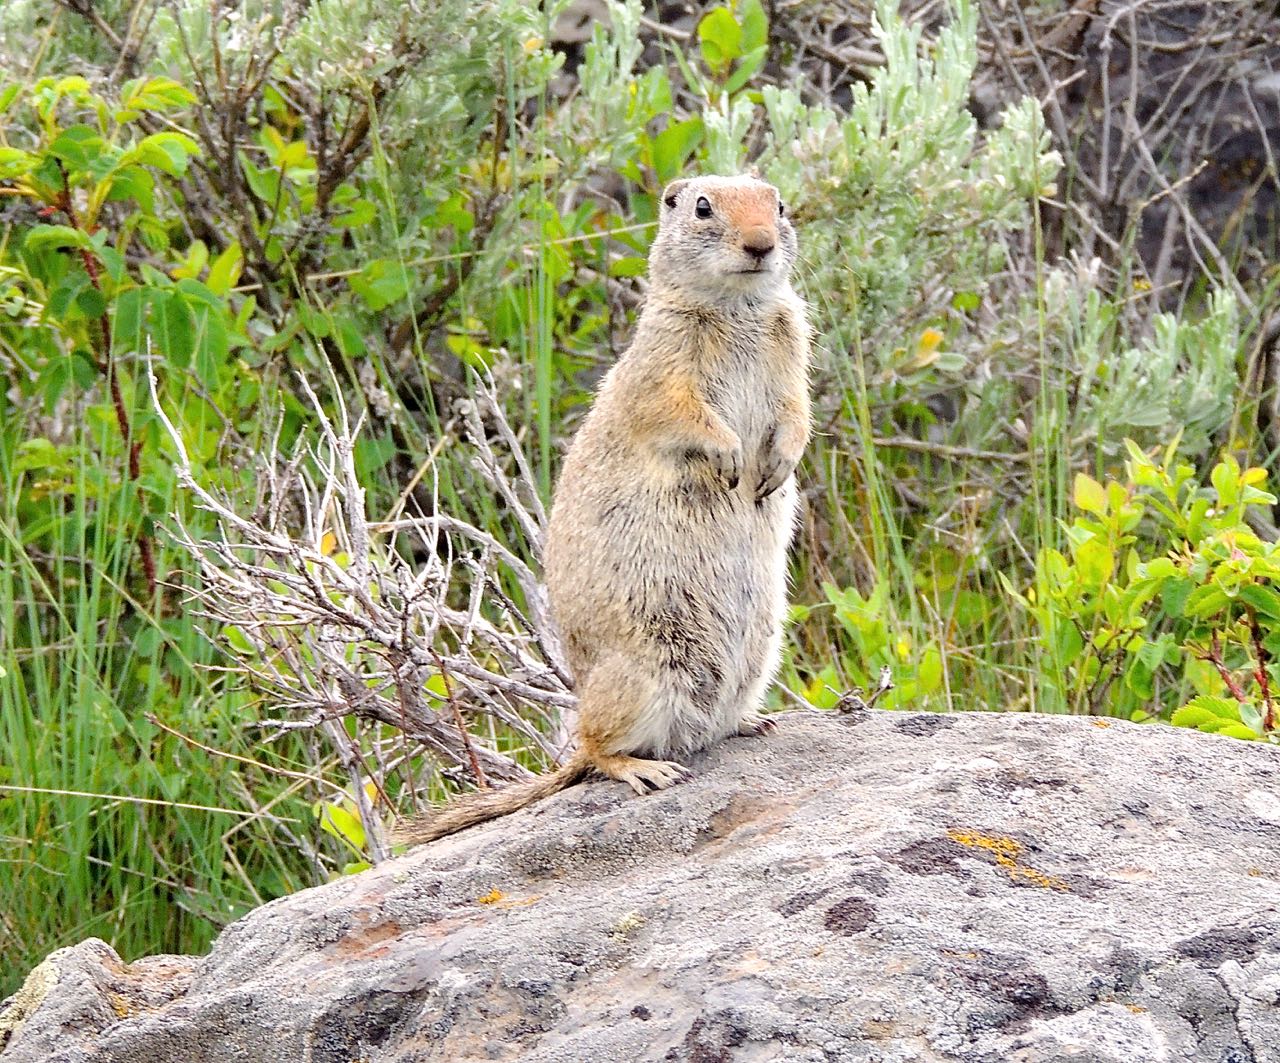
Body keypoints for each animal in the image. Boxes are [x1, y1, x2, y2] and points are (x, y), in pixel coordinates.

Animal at [401, 176, 808, 850]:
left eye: (779, 205)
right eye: (701, 207)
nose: (760, 244)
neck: (737, 306)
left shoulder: (794, 350)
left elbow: (798, 414)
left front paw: (775, 468)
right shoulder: (662, 369)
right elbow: (679, 410)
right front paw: (729, 456)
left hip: (757, 656)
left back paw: (754, 723)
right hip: (643, 674)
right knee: (594, 751)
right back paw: (646, 771)